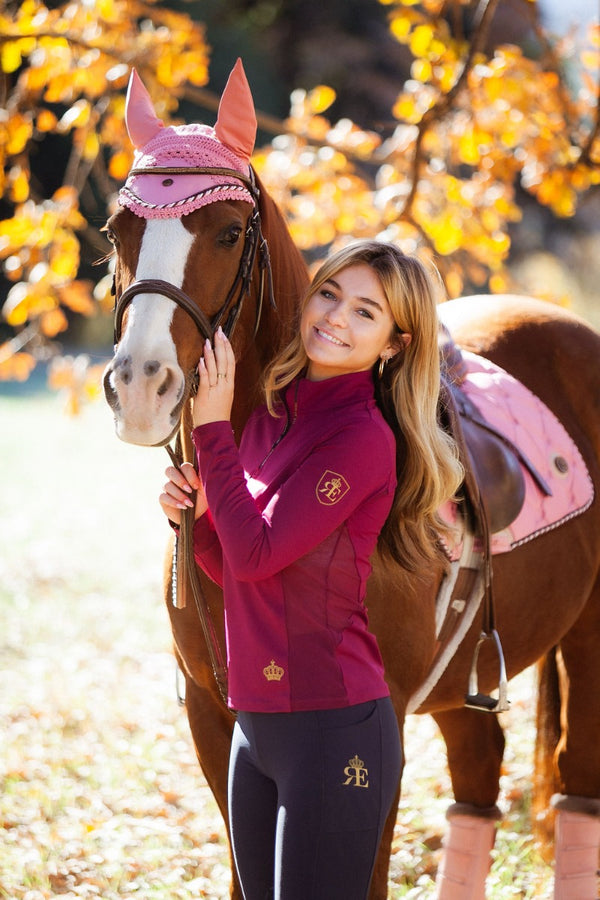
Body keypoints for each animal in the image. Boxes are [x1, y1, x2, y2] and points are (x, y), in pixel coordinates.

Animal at [103, 59, 600, 896]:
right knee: (479, 781)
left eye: (229, 232)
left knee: (575, 786)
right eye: (117, 230)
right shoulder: (212, 719)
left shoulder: (379, 726)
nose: (141, 386)